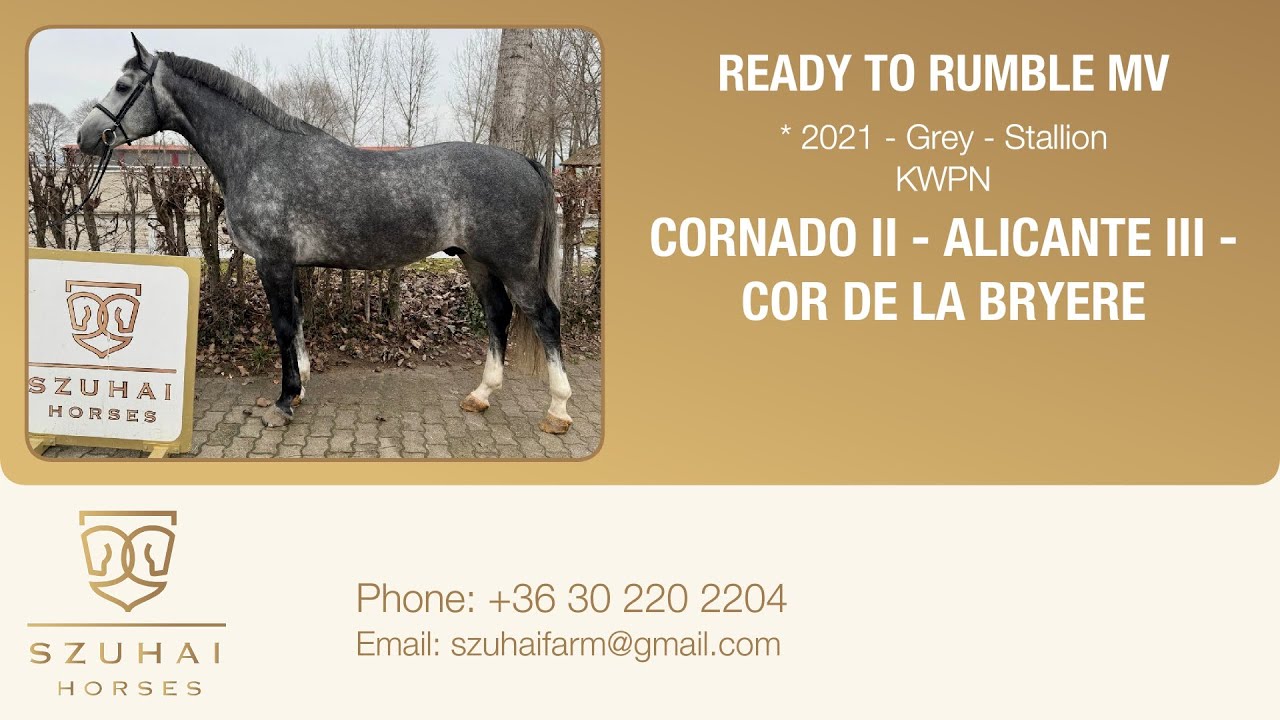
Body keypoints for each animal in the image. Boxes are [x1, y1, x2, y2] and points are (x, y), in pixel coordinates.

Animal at [75, 34, 574, 435]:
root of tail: (525, 162)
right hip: (477, 261)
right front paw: (300, 386)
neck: (258, 153)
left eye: (124, 86)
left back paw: (558, 411)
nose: (85, 137)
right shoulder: (288, 265)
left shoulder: (272, 261)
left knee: (544, 317)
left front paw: (283, 401)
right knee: (497, 314)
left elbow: (281, 325)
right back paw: (481, 395)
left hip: (514, 265)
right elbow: (296, 319)